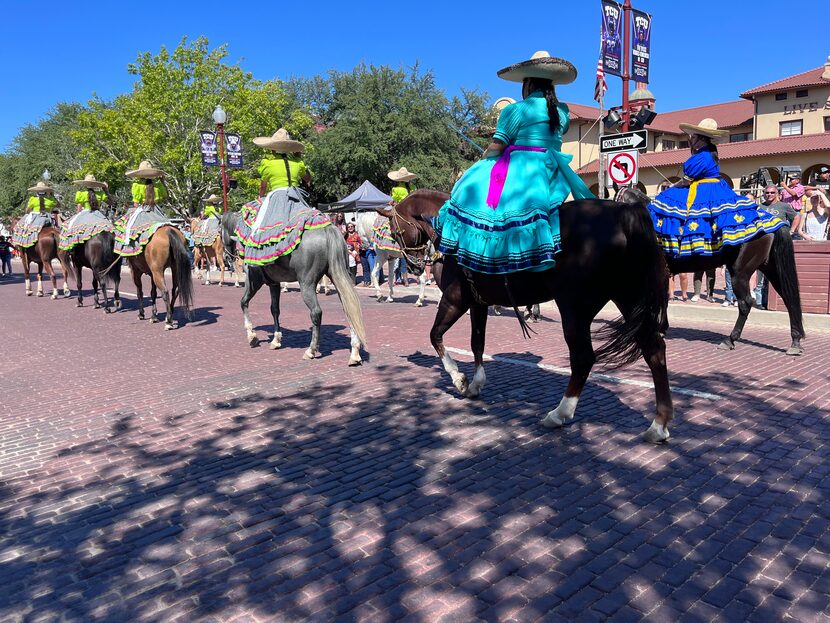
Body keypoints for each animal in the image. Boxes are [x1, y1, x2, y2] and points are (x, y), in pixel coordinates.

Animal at [384, 190, 676, 444]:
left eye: (395, 232)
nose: (413, 267)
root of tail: (622, 213)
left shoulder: (455, 300)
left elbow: (435, 336)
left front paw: (459, 380)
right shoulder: (478, 303)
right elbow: (477, 343)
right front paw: (476, 383)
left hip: (575, 307)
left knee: (583, 359)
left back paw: (559, 413)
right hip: (630, 301)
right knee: (654, 351)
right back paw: (659, 425)